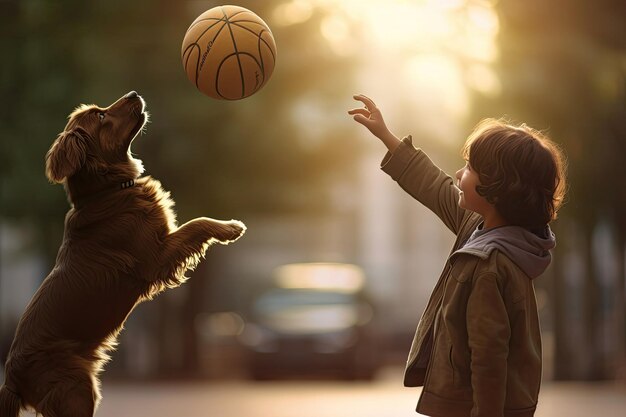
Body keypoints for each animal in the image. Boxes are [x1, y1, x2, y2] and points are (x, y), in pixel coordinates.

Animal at [0, 92, 245, 416]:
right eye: (101, 116)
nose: (134, 94)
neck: (110, 191)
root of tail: (11, 379)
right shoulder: (156, 257)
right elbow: (196, 224)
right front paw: (230, 227)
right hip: (77, 390)